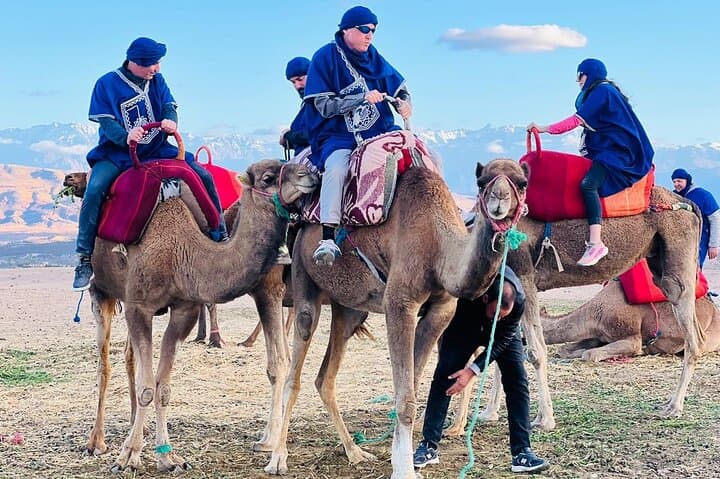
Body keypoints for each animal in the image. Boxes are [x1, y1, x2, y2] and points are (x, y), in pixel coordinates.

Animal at [75, 160, 317, 472]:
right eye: (267, 177)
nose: (311, 174)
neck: (181, 250)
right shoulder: (139, 307)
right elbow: (147, 387)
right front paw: (128, 456)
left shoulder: (184, 311)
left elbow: (161, 386)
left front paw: (167, 456)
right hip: (101, 290)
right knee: (104, 364)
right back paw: (97, 442)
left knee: (129, 358)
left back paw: (134, 425)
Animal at [265, 159, 529, 479]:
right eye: (482, 181)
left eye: (522, 182)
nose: (499, 199)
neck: (438, 244)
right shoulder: (399, 304)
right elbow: (406, 398)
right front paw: (403, 469)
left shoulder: (442, 309)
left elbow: (411, 386)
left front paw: (400, 459)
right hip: (304, 279)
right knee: (295, 370)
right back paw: (277, 458)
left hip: (349, 308)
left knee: (325, 377)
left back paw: (355, 452)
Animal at [473, 185, 703, 432]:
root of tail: (688, 204)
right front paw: (489, 413)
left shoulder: (525, 276)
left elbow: (534, 351)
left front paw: (545, 419)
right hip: (658, 259)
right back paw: (669, 402)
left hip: (677, 258)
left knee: (690, 333)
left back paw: (674, 407)